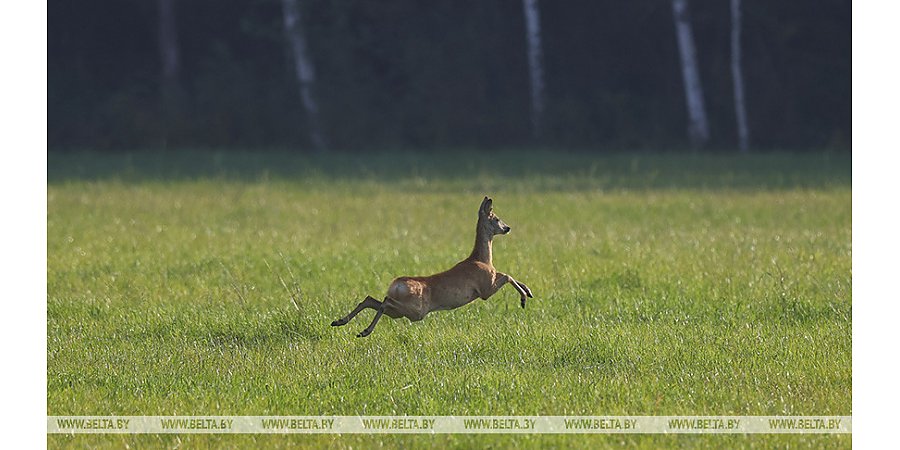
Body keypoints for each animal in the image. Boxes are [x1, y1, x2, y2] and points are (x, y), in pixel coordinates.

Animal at [330, 197, 532, 338]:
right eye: (496, 218)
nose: (508, 228)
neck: (481, 259)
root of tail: (396, 284)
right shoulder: (485, 289)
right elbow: (507, 275)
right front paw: (523, 298)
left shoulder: (487, 284)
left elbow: (507, 274)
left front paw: (528, 291)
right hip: (415, 310)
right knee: (383, 302)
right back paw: (364, 330)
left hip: (401, 312)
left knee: (371, 300)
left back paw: (340, 322)